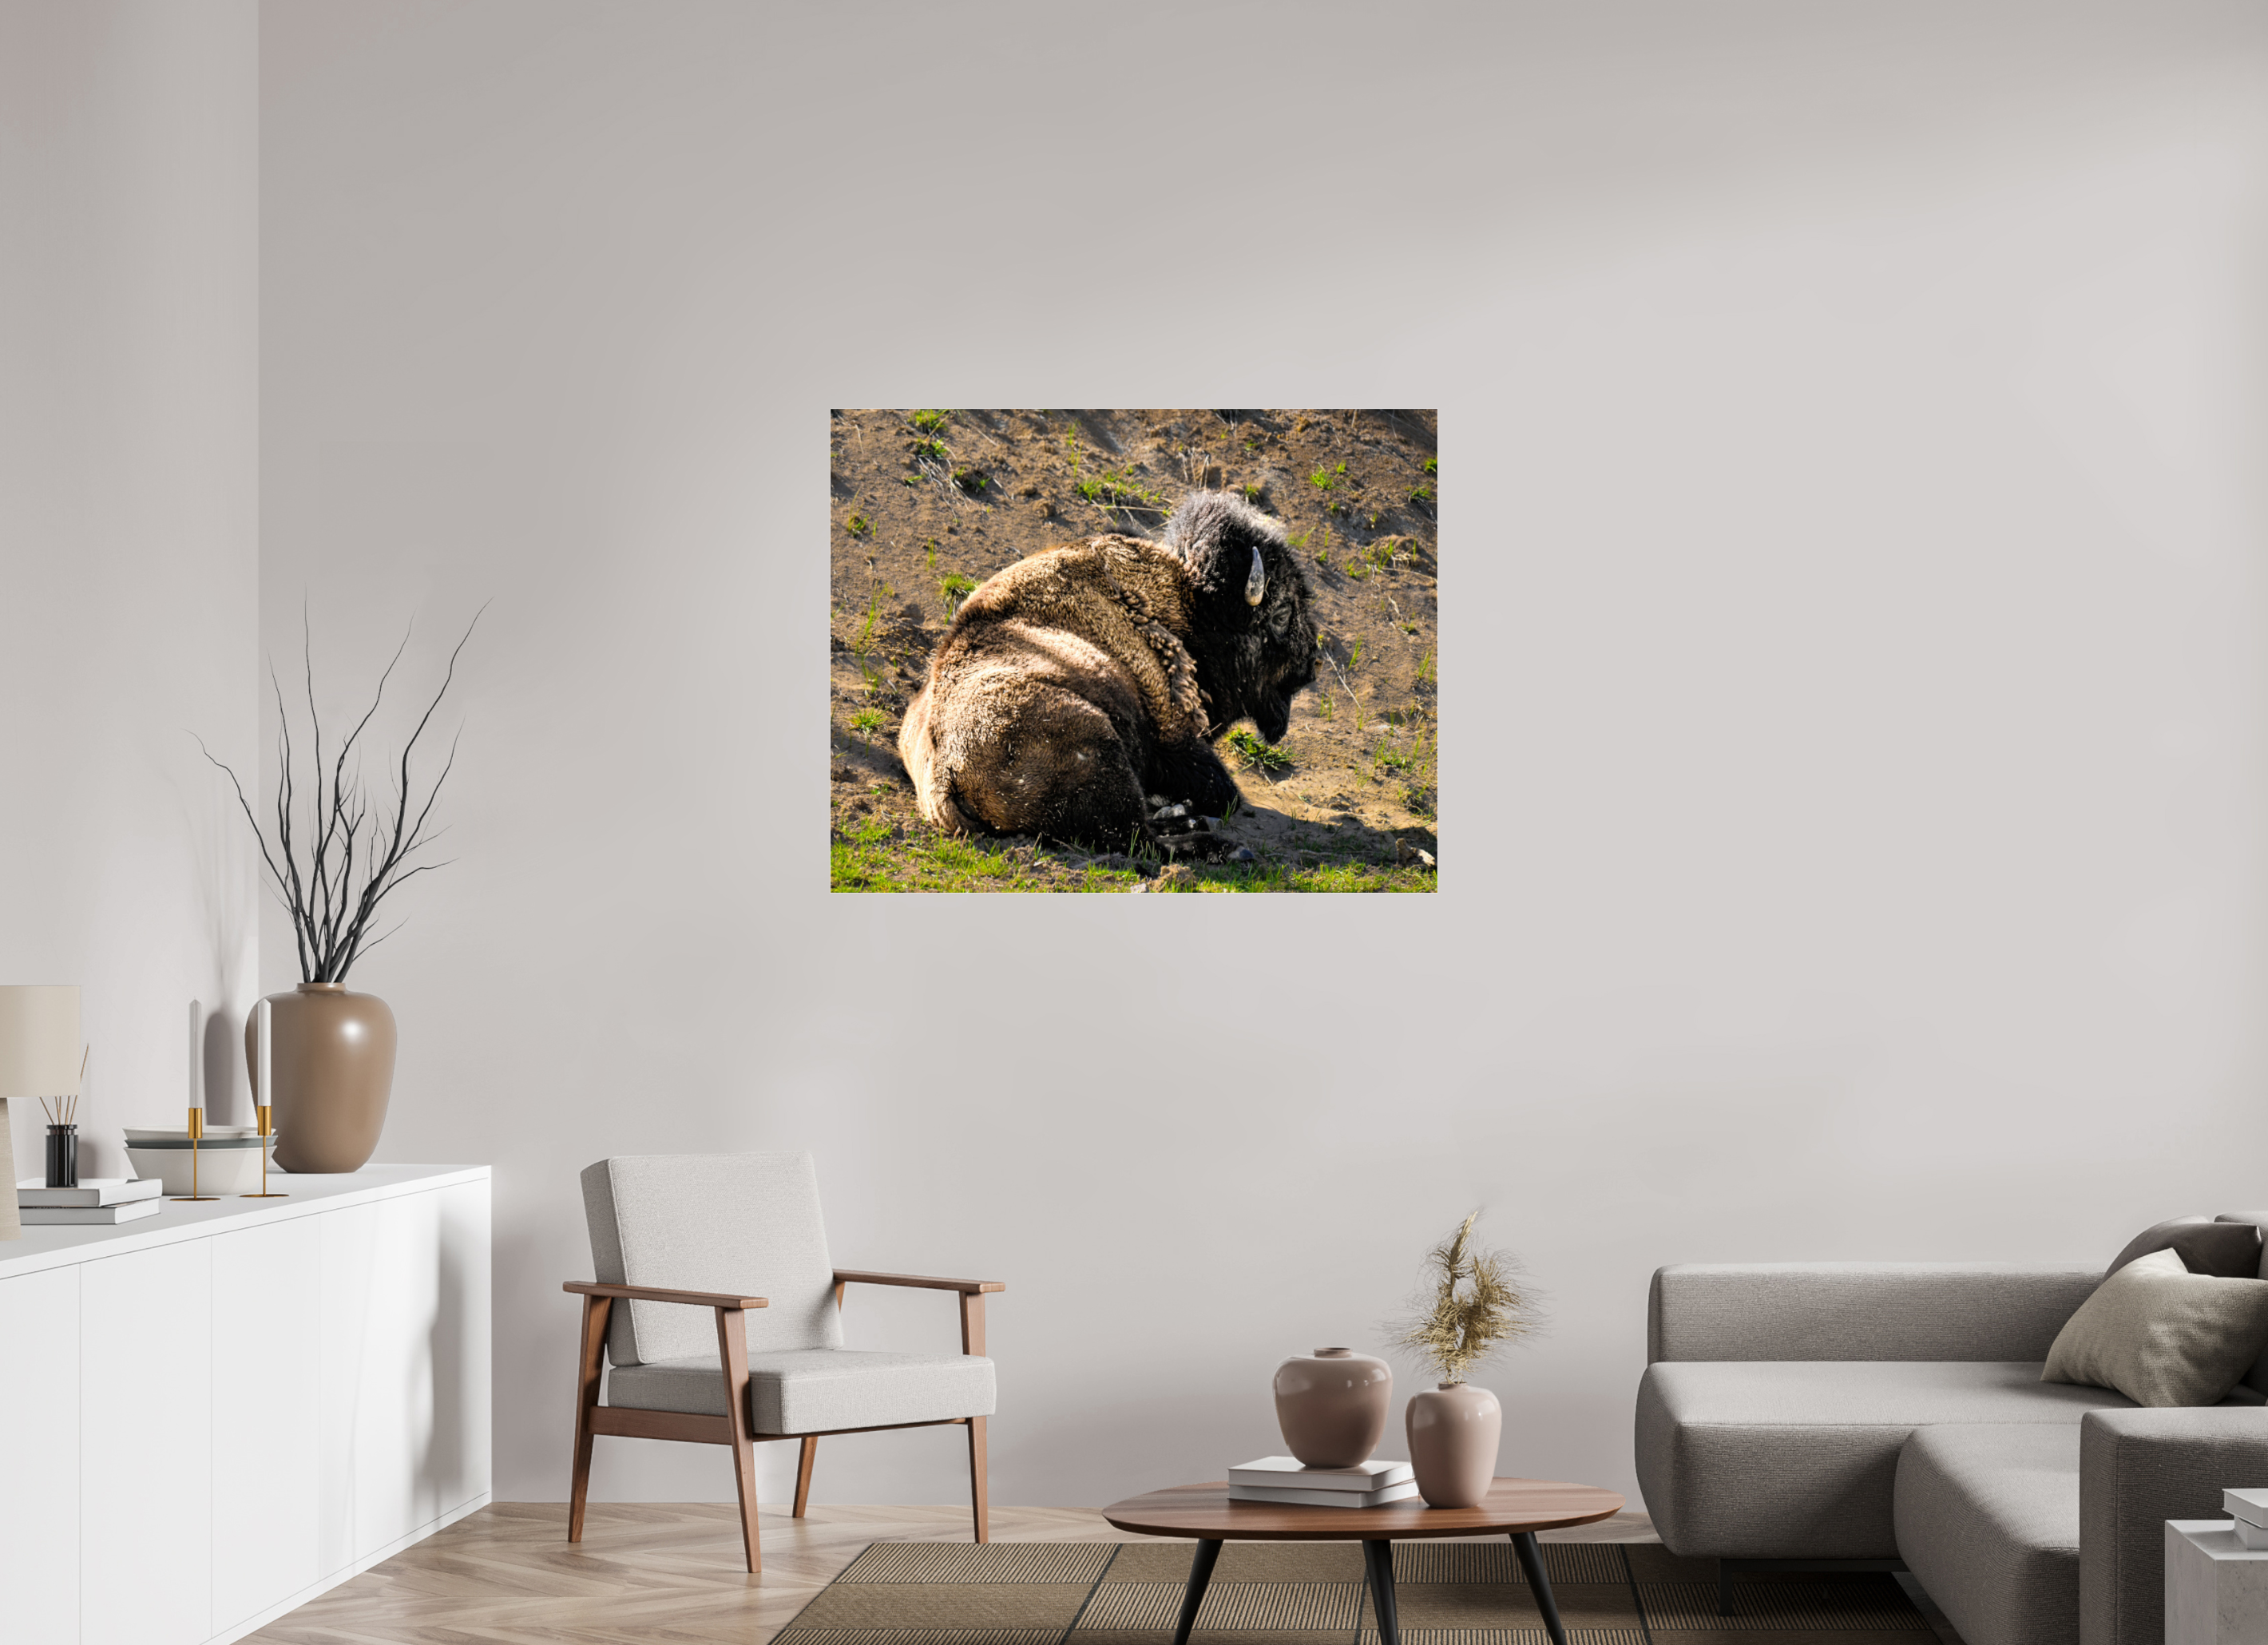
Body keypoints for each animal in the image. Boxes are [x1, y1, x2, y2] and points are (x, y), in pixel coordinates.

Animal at [898, 492, 1318, 853]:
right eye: (1282, 613)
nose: (1310, 664)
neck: (1191, 606)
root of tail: (946, 774)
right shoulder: (1176, 735)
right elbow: (1225, 794)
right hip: (1099, 748)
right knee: (1140, 840)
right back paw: (1222, 846)